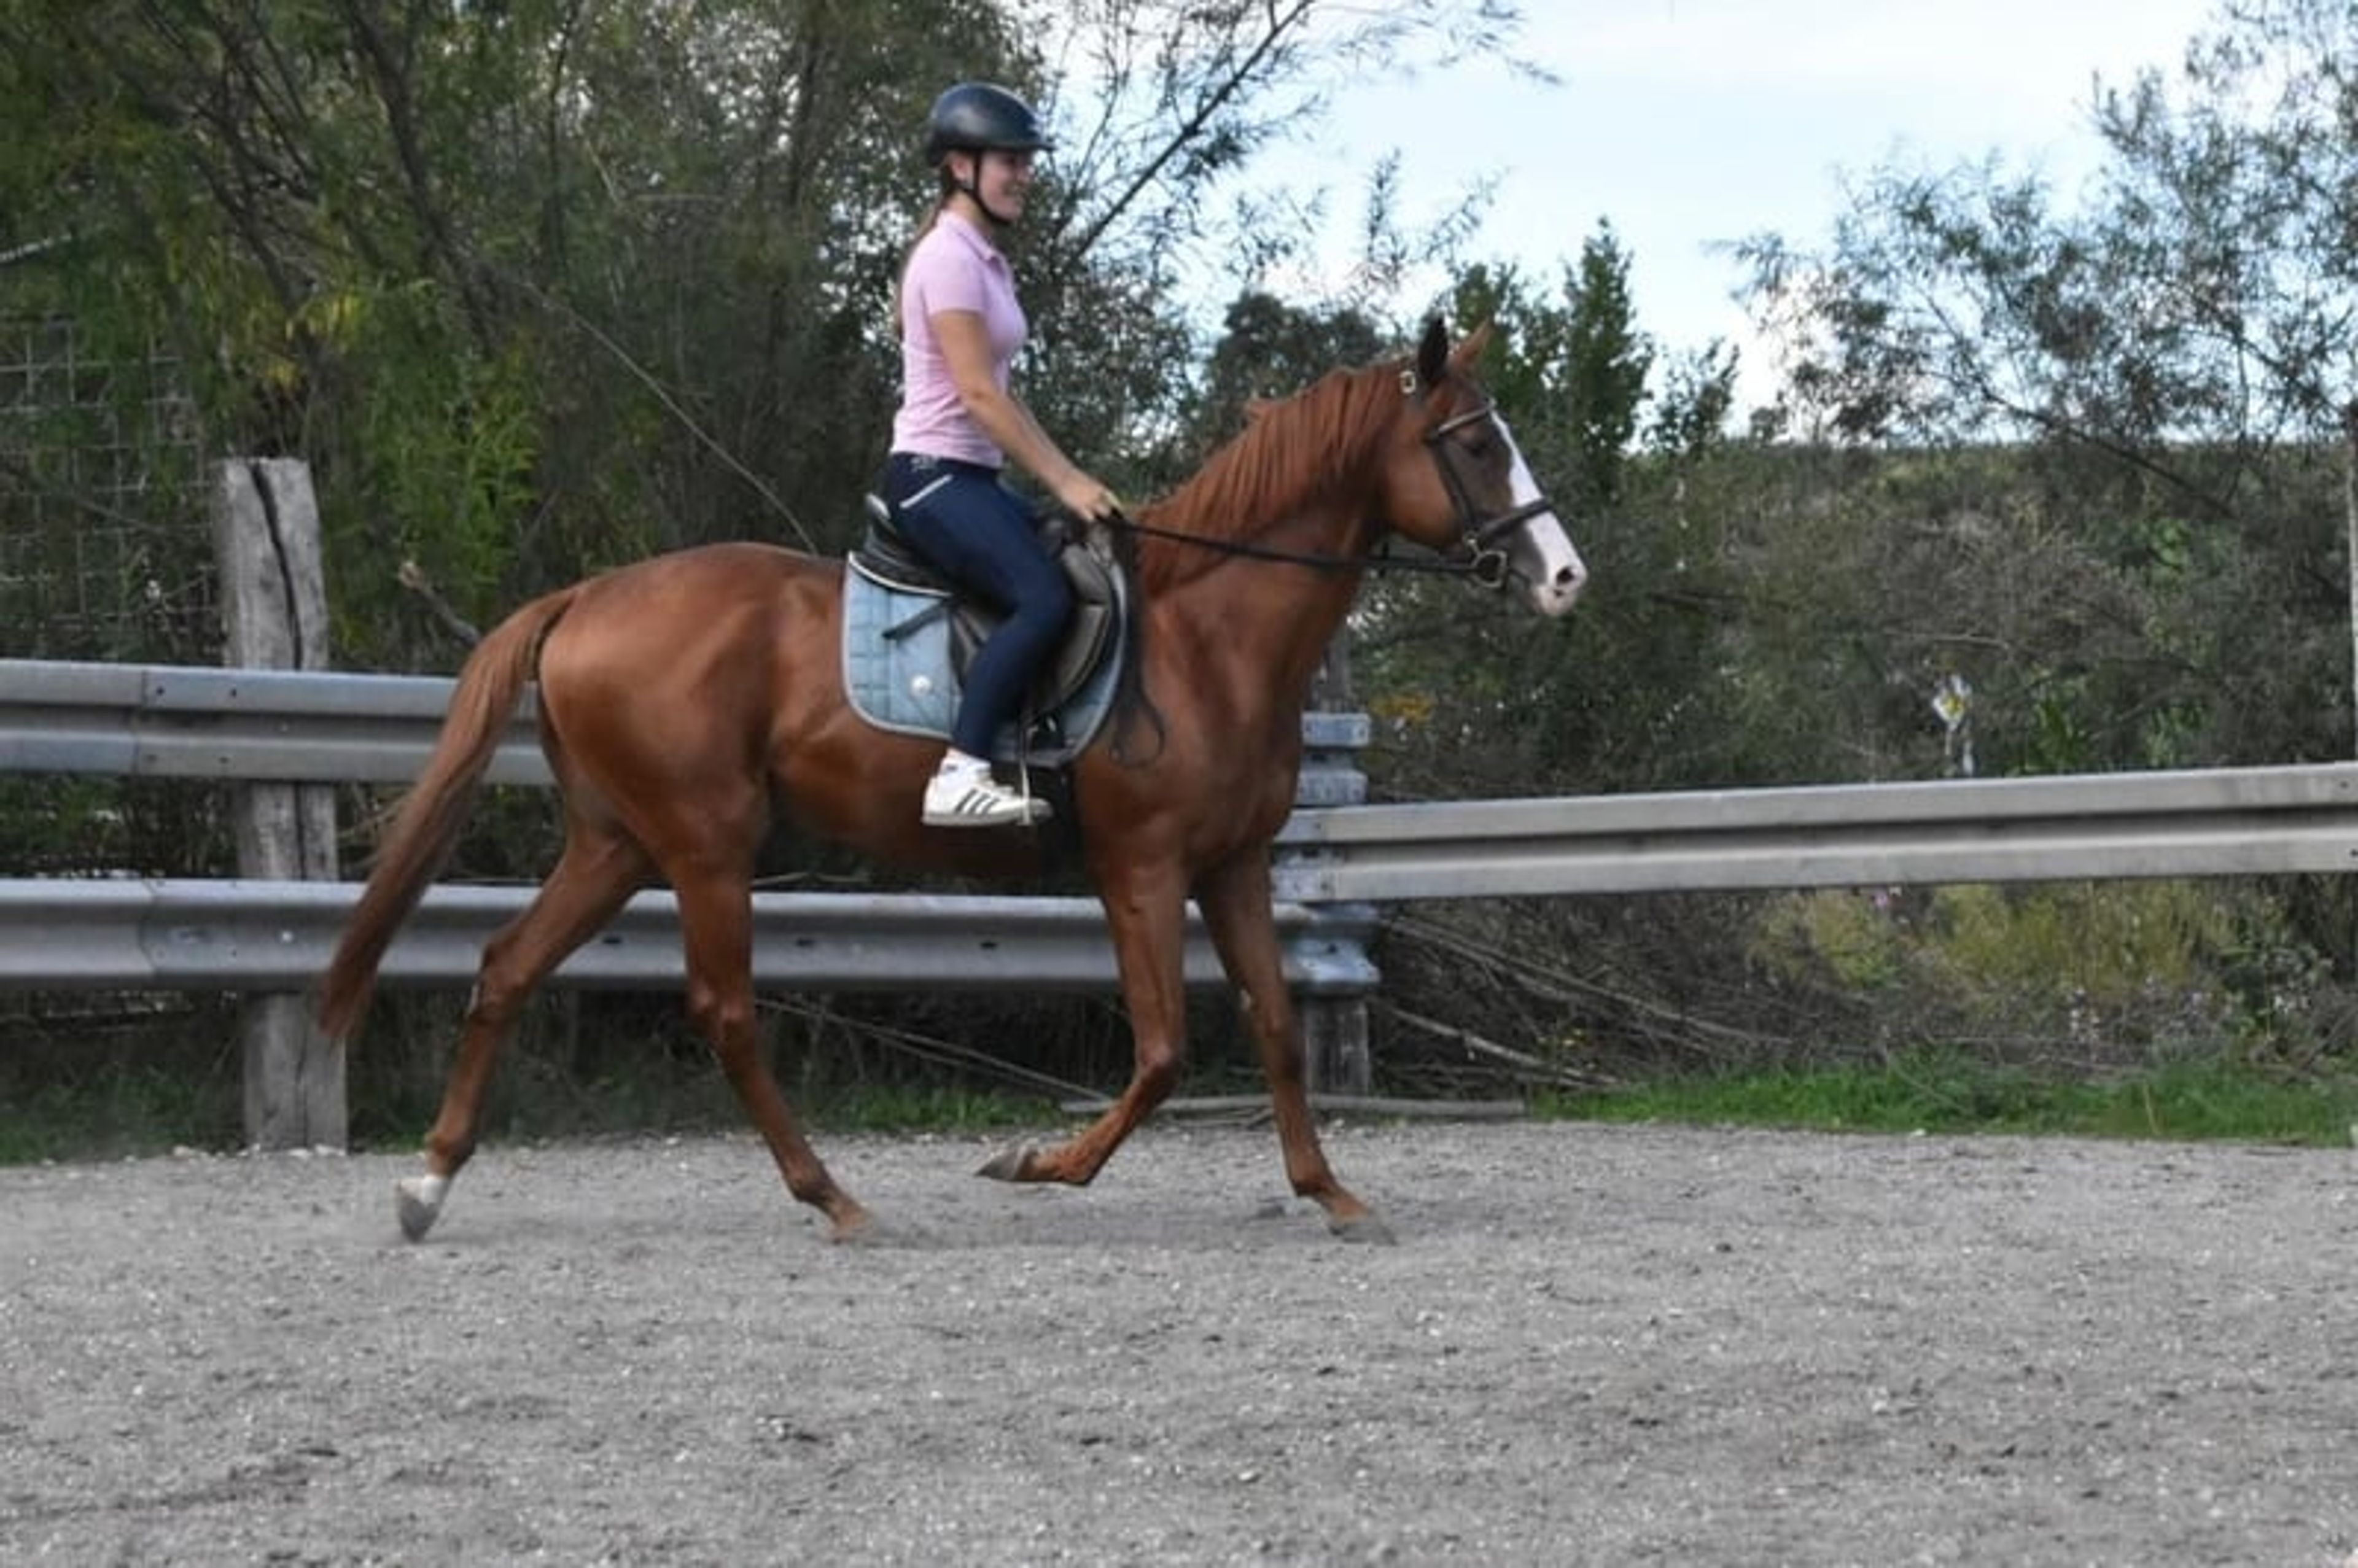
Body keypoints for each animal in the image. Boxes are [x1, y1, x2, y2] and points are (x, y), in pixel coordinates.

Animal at [317, 316, 1587, 1245]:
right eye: (1476, 443)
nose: (1566, 576)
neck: (1208, 636)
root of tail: (587, 596)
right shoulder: (1143, 866)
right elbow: (1165, 1050)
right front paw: (1039, 1162)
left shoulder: (1232, 866)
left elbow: (1273, 1023)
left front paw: (1329, 1189)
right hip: (705, 842)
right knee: (723, 1009)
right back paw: (833, 1197)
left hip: (617, 841)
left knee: (505, 966)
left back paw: (428, 1185)